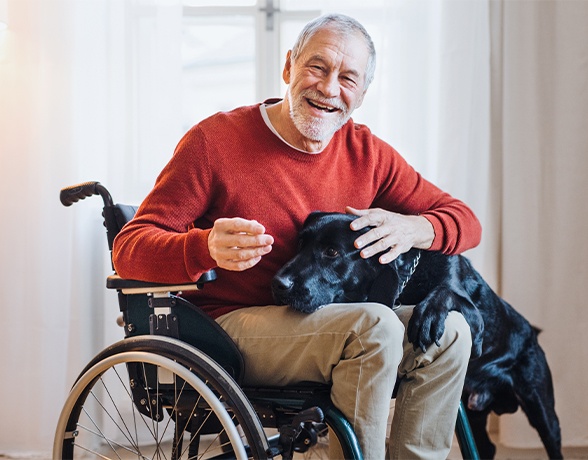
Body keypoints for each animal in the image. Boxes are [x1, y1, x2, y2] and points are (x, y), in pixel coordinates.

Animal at [274, 213, 564, 460]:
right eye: (300, 244)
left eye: (332, 252)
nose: (278, 283)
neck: (410, 281)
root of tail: (533, 333)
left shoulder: (474, 317)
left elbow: (444, 292)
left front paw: (427, 317)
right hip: (474, 412)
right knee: (487, 447)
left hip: (541, 408)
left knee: (552, 441)